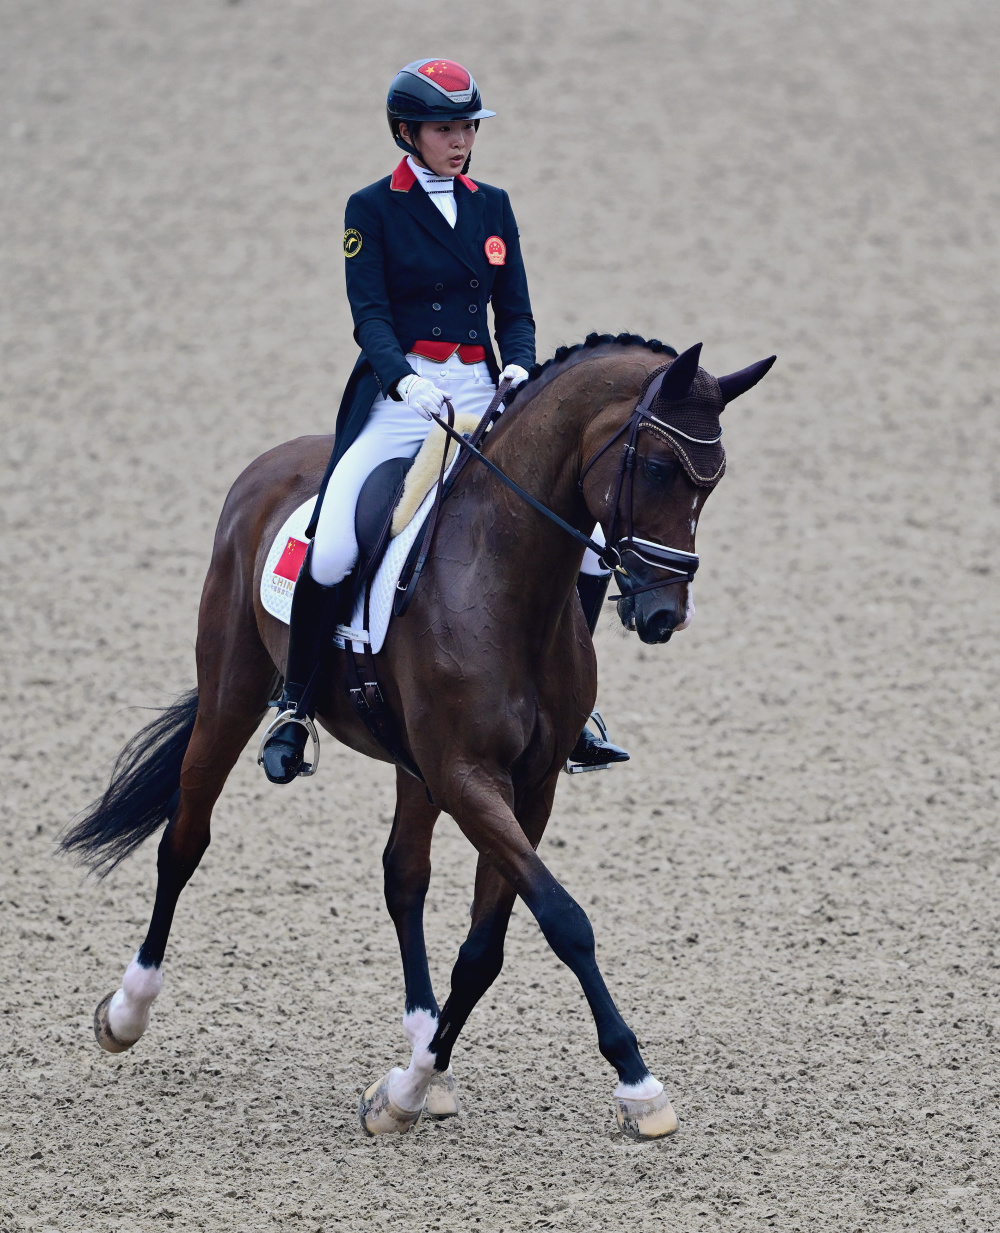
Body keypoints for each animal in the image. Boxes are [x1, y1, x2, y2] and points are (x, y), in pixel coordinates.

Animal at [62, 332, 779, 1139]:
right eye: (655, 467)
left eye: (712, 485)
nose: (663, 614)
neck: (506, 579)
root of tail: (273, 463)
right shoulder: (469, 777)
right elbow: (564, 919)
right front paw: (637, 1081)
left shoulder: (527, 786)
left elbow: (485, 946)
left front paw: (408, 1086)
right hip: (232, 691)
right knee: (184, 839)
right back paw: (126, 1012)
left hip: (412, 763)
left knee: (403, 876)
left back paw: (421, 1040)